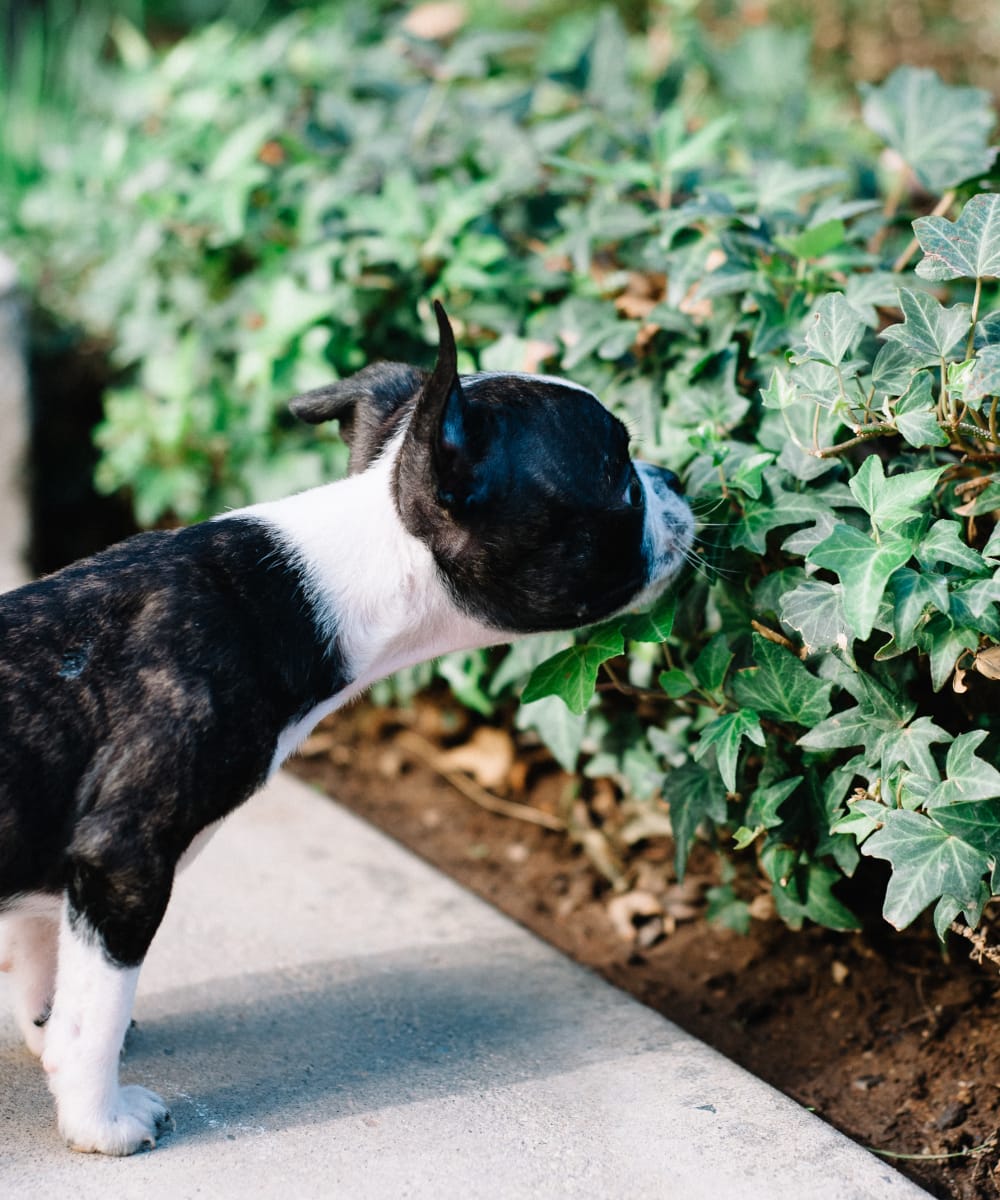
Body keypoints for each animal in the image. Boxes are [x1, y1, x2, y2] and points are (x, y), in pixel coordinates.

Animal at [0, 302, 696, 1152]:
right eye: (622, 478)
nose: (675, 479)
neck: (333, 576)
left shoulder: (63, 863)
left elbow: (45, 962)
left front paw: (47, 1041)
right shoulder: (121, 857)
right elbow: (96, 1012)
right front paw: (99, 1119)